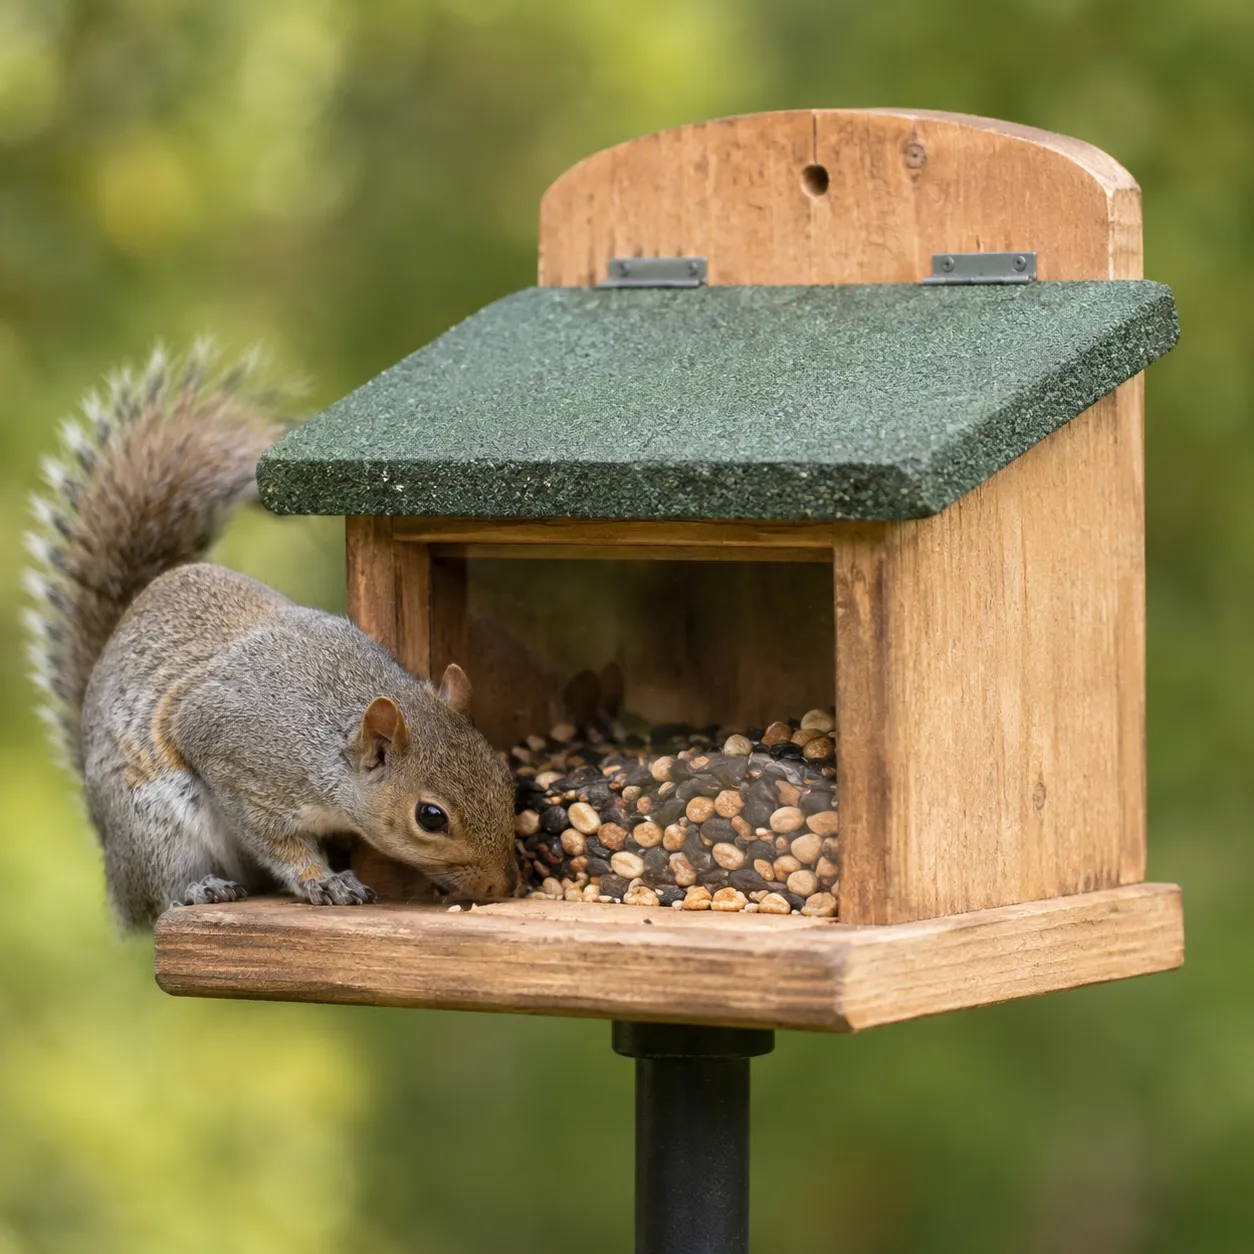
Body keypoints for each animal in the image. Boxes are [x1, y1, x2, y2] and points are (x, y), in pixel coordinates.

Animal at [22, 344, 518, 930]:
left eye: (506, 776)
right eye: (431, 817)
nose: (501, 887)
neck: (330, 736)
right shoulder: (238, 759)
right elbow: (277, 842)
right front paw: (323, 880)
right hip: (154, 825)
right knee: (159, 895)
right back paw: (199, 888)